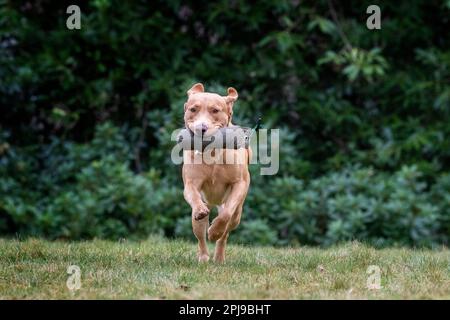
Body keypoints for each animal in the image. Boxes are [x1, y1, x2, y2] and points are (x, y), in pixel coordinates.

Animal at [183, 82, 253, 262]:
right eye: (193, 109)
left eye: (215, 110)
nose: (201, 128)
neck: (213, 154)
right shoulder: (191, 183)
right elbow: (193, 195)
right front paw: (200, 210)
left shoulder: (239, 184)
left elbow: (226, 215)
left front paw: (214, 232)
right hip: (198, 218)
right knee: (200, 236)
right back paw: (204, 257)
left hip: (237, 215)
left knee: (226, 232)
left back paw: (219, 257)